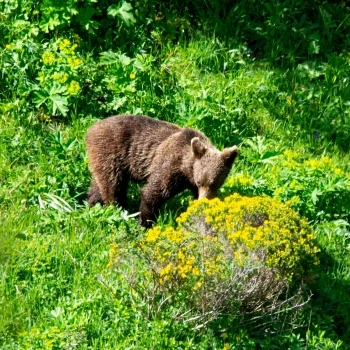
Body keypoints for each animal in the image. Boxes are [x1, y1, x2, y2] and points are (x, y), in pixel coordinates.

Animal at [85, 115, 238, 227]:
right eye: (200, 182)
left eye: (214, 183)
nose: (203, 201)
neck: (186, 168)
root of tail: (90, 129)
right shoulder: (170, 166)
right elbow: (154, 192)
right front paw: (146, 223)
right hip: (111, 154)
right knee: (114, 186)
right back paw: (118, 210)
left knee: (98, 186)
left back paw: (91, 205)